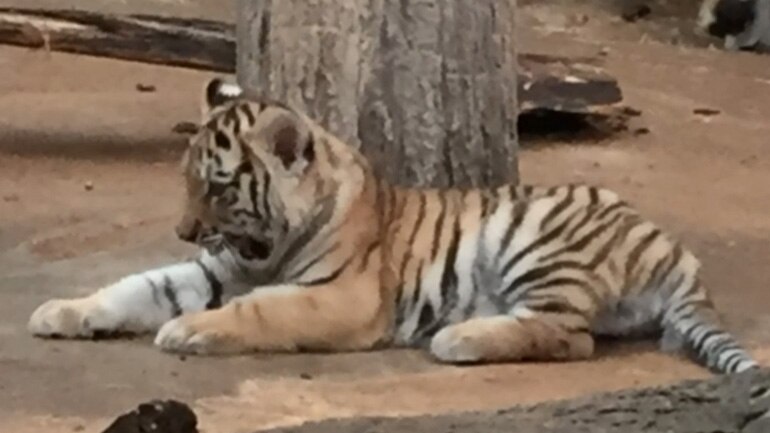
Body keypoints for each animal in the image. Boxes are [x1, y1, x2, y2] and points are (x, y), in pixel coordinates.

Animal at [28, 77, 759, 375]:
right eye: (185, 180)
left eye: (218, 186)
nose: (185, 230)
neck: (266, 249)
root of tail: (677, 254)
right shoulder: (211, 269)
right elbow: (133, 287)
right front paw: (59, 311)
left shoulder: (344, 296)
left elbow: (261, 310)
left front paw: (191, 330)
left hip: (536, 241)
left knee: (569, 336)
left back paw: (459, 338)